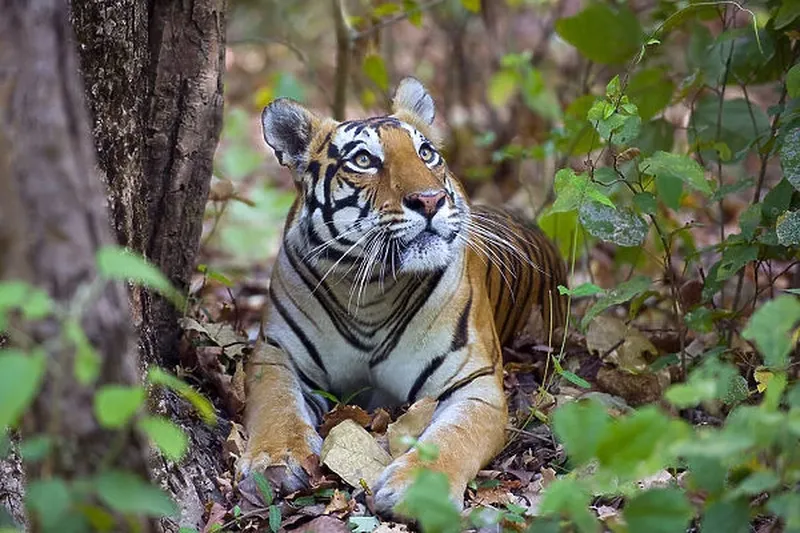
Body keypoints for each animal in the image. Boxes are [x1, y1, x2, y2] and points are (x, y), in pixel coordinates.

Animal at [238, 77, 568, 512]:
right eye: (364, 160)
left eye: (426, 153)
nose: (430, 200)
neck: (370, 291)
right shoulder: (277, 354)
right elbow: (276, 406)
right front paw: (277, 459)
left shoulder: (474, 384)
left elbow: (453, 437)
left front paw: (421, 491)